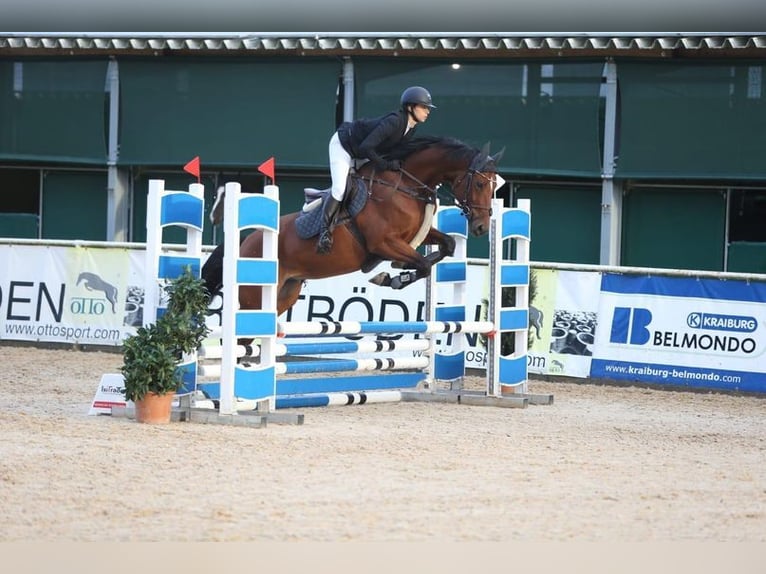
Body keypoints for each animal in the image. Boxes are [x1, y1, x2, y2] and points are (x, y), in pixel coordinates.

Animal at [201, 137, 508, 320]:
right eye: (479, 183)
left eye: (495, 186)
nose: (481, 226)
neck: (406, 185)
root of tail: (246, 241)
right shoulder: (383, 242)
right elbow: (422, 265)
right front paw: (391, 278)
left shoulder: (413, 237)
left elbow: (446, 246)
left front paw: (397, 272)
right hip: (255, 295)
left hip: (285, 292)